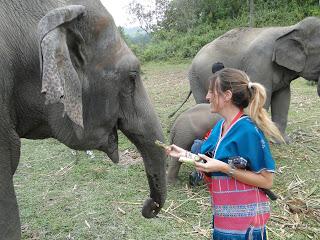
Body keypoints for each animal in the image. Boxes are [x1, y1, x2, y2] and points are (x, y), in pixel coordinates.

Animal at [188, 16, 320, 139]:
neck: (289, 28)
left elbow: (283, 99)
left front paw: (281, 140)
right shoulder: (260, 64)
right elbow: (262, 99)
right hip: (195, 79)